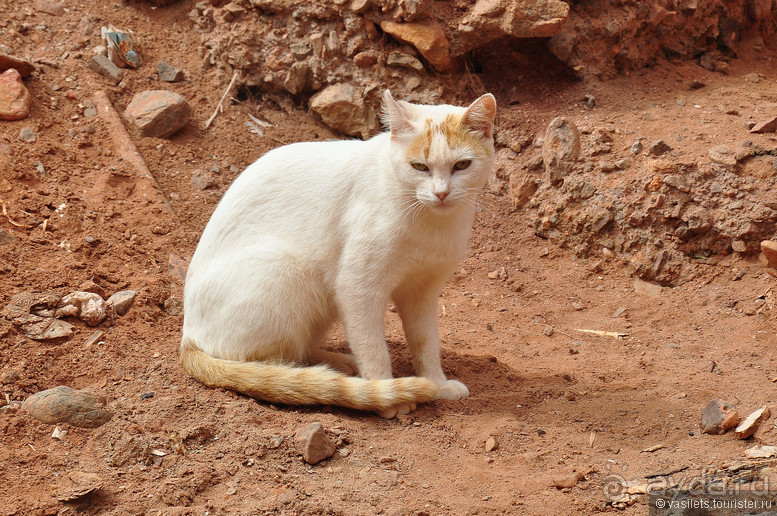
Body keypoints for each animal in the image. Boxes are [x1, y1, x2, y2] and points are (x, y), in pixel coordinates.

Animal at [180, 90, 498, 418]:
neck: (430, 222)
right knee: (267, 368)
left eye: (462, 165)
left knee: (299, 353)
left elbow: (427, 344)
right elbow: (372, 347)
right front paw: (387, 393)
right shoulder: (357, 288)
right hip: (287, 271)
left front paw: (437, 384)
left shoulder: (422, 293)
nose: (441, 193)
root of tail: (188, 337)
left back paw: (340, 366)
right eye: (419, 167)